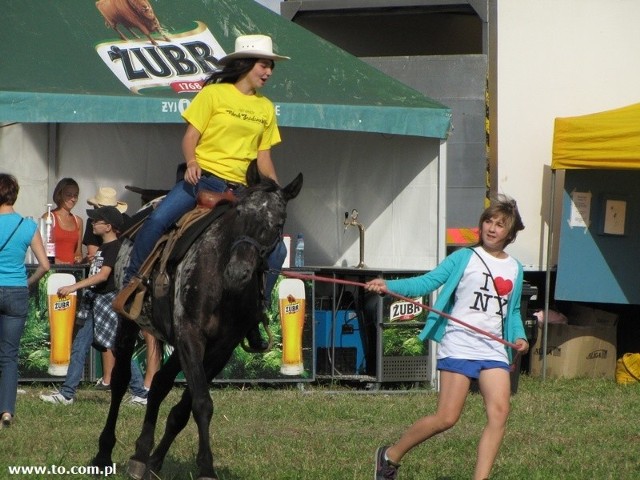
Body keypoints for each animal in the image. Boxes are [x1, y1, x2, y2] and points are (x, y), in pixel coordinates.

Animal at [91, 166, 304, 480]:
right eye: (240, 213)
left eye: (278, 222)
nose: (238, 272)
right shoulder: (191, 335)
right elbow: (202, 403)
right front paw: (206, 468)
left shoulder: (220, 348)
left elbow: (185, 408)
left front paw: (155, 461)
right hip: (130, 323)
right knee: (119, 381)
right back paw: (103, 453)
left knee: (159, 383)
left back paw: (141, 454)